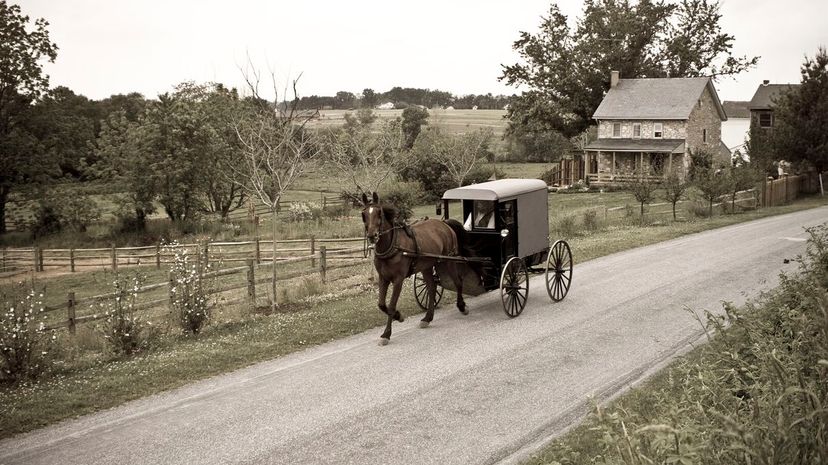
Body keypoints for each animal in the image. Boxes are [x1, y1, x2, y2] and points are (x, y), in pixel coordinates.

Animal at [362, 191, 472, 344]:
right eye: (363, 214)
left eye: (379, 213)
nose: (372, 235)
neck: (393, 246)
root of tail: (444, 223)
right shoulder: (383, 278)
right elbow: (381, 304)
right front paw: (398, 316)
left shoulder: (398, 280)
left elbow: (391, 305)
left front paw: (386, 334)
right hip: (427, 266)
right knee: (432, 288)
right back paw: (428, 318)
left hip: (448, 260)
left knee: (457, 282)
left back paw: (462, 306)